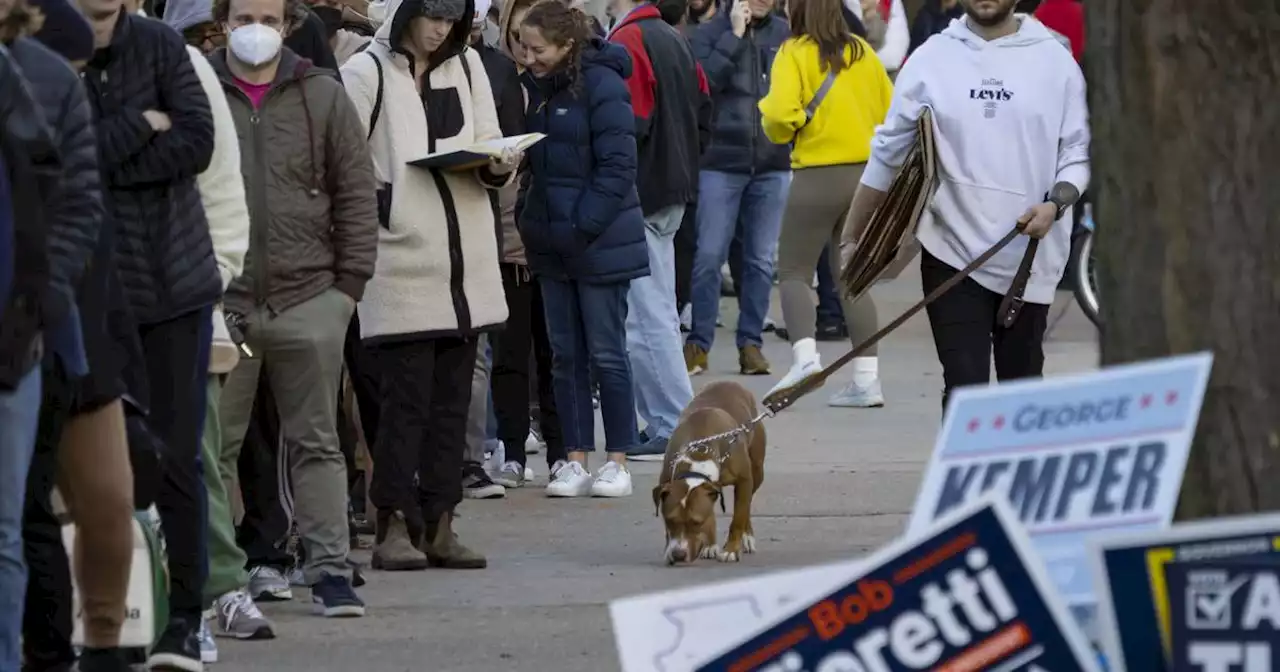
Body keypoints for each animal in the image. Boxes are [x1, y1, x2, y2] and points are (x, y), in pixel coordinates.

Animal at [655, 378, 762, 563]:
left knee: (747, 506)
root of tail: (730, 382)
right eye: (669, 521)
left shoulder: (744, 480)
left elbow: (739, 517)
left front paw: (731, 550)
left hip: (757, 473)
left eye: (696, 523)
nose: (678, 554)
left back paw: (747, 536)